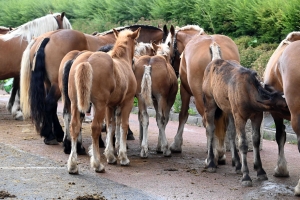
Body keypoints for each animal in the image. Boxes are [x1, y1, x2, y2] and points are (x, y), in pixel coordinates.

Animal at [19, 25, 169, 147]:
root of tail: (45, 38)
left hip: (50, 84)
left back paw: (54, 134)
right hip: (56, 85)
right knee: (51, 104)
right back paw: (53, 135)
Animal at [63, 28, 140, 173]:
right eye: (137, 42)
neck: (122, 61)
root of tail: (86, 60)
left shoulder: (110, 106)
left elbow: (110, 126)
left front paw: (111, 156)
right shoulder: (127, 102)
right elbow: (123, 126)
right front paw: (123, 157)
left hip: (75, 103)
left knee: (74, 126)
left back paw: (73, 165)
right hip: (99, 105)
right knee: (95, 128)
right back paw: (97, 164)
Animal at [133, 27, 178, 158]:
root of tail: (148, 66)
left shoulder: (153, 100)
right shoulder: (168, 99)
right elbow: (164, 118)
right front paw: (161, 146)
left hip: (141, 97)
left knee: (144, 117)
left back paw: (144, 149)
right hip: (161, 97)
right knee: (161, 119)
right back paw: (166, 149)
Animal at [168, 24, 240, 166]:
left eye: (168, 44)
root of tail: (214, 44)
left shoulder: (184, 90)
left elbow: (183, 115)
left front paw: (176, 144)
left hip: (200, 98)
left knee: (208, 122)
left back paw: (213, 156)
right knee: (222, 122)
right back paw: (220, 153)